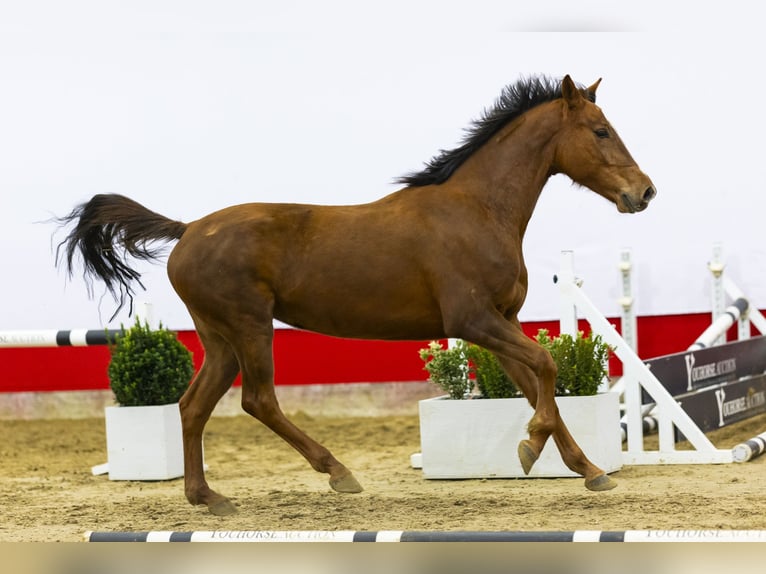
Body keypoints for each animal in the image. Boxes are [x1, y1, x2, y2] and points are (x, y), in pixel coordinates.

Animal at [55, 73, 656, 516]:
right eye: (601, 131)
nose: (645, 192)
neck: (478, 210)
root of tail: (186, 230)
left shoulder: (502, 321)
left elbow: (537, 387)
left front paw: (588, 471)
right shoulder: (474, 320)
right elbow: (546, 371)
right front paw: (532, 448)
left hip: (218, 337)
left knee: (192, 405)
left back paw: (207, 497)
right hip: (250, 326)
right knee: (258, 400)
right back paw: (338, 473)